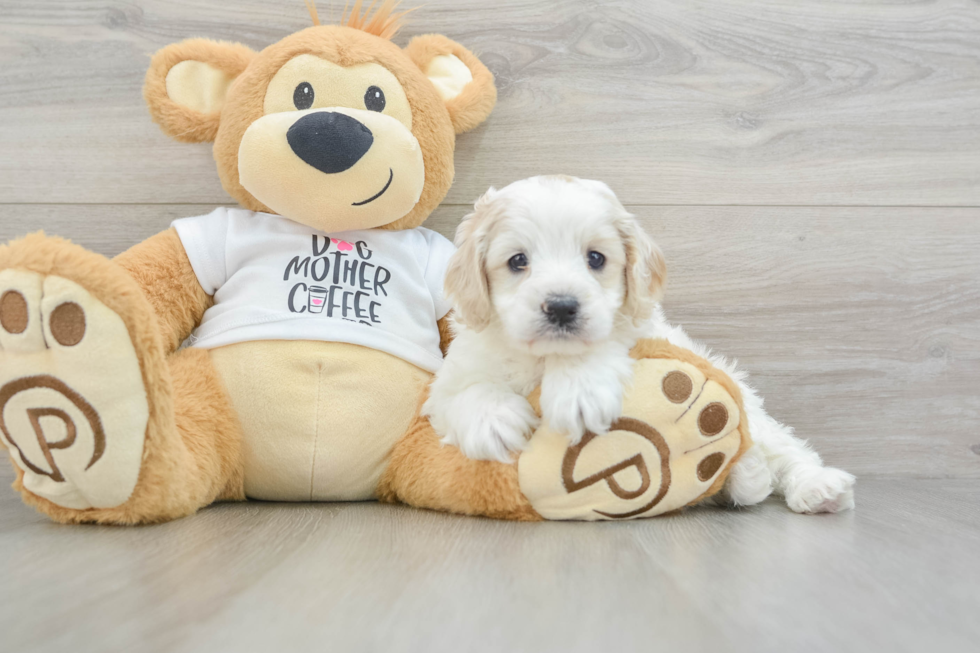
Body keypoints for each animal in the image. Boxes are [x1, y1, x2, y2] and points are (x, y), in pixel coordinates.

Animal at [424, 176, 852, 512]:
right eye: (517, 261)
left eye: (596, 258)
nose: (562, 307)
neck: (545, 358)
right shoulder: (454, 375)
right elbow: (464, 392)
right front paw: (494, 421)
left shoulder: (641, 330)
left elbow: (602, 343)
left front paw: (579, 393)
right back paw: (747, 475)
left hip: (752, 410)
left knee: (784, 449)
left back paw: (815, 487)